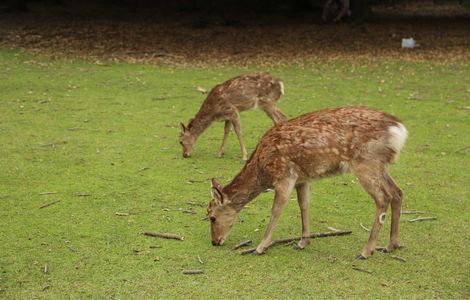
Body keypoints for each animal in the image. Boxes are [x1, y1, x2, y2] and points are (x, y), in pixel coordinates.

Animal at [207, 105, 408, 258]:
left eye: (212, 217)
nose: (215, 241)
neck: (262, 169)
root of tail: (398, 129)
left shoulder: (284, 175)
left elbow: (276, 210)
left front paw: (260, 247)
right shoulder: (302, 179)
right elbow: (303, 205)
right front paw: (303, 242)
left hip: (365, 162)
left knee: (383, 198)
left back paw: (366, 251)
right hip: (380, 165)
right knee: (397, 192)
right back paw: (391, 245)